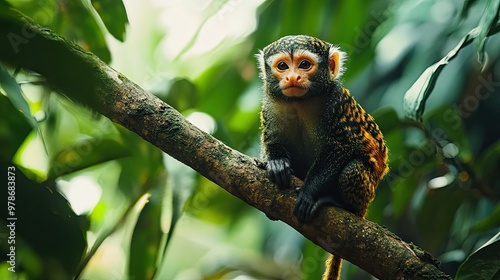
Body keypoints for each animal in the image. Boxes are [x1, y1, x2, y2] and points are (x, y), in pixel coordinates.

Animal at [256, 35, 388, 280]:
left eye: (304, 65)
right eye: (282, 66)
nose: (293, 77)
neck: (300, 103)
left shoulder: (337, 104)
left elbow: (343, 148)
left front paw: (309, 192)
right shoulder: (268, 105)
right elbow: (270, 141)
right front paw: (276, 163)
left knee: (353, 167)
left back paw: (339, 203)